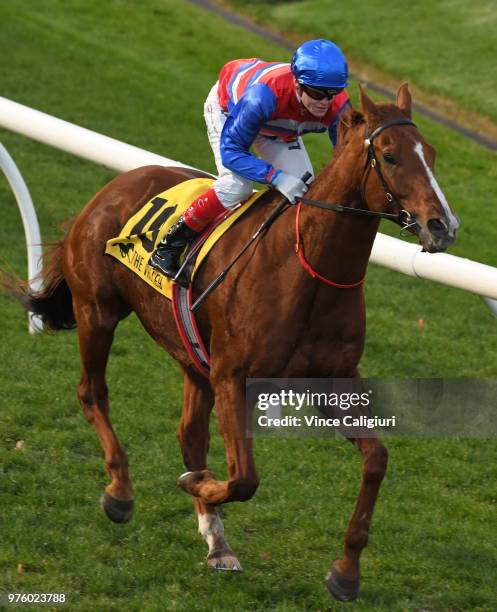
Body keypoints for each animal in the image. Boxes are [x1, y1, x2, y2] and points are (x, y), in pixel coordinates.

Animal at [7, 85, 458, 604]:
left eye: (432, 154)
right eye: (389, 156)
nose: (442, 225)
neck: (307, 267)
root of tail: (120, 182)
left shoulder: (332, 381)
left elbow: (377, 460)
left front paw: (346, 571)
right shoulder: (232, 376)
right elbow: (244, 478)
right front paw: (197, 485)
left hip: (190, 355)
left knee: (189, 433)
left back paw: (216, 539)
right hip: (97, 311)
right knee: (91, 392)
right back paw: (120, 491)